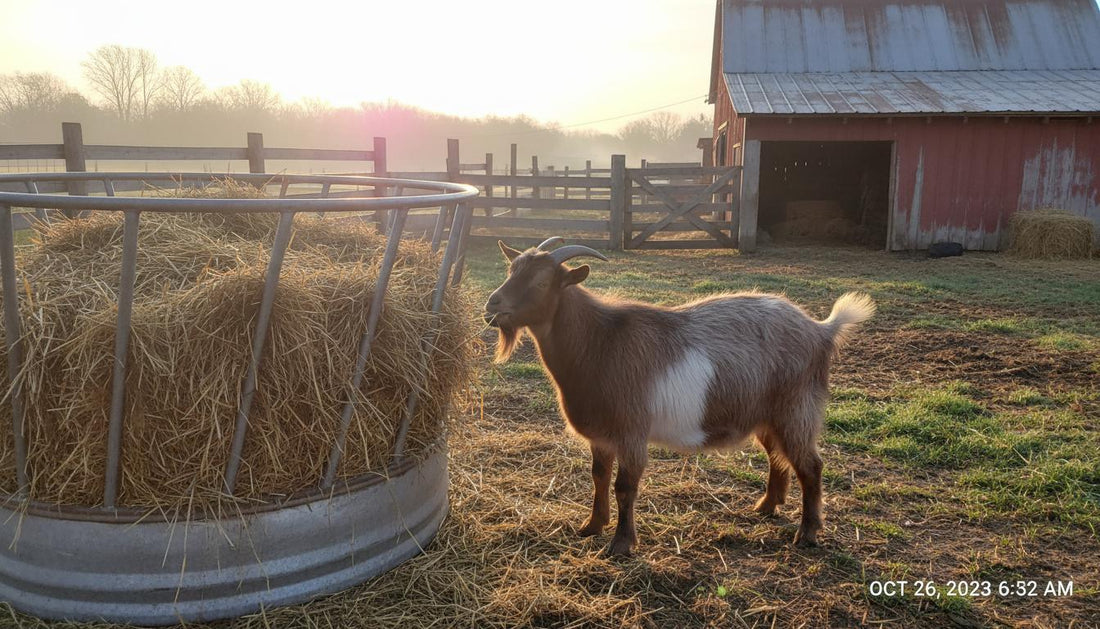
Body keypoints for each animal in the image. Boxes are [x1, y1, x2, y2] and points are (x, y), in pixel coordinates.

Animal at [483, 238, 875, 556]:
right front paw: (591, 526)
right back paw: (766, 506)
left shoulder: (631, 432)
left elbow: (625, 486)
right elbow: (598, 477)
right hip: (765, 415)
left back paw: (807, 534)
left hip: (796, 411)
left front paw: (621, 544)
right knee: (778, 457)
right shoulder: (601, 435)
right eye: (511, 270)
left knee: (810, 465)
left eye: (541, 281)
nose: (492, 304)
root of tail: (822, 330)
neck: (598, 342)